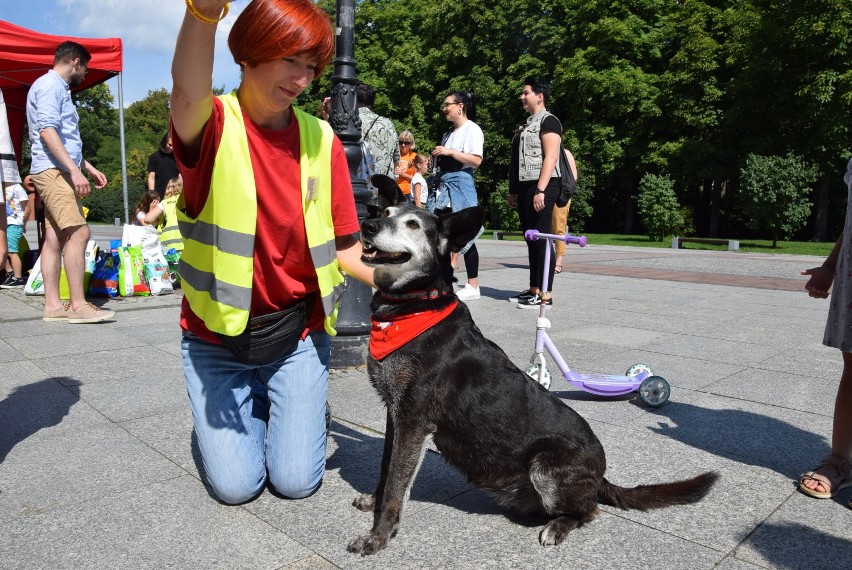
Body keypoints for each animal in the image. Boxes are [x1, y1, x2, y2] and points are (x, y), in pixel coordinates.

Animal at [348, 175, 720, 552]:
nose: (368, 225)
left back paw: (559, 525)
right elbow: (386, 468)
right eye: (386, 213)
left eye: (412, 225)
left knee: (589, 511)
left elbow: (397, 485)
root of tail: (600, 475)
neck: (413, 308)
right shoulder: (395, 413)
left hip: (545, 465)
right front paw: (374, 502)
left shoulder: (414, 420)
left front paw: (378, 535)